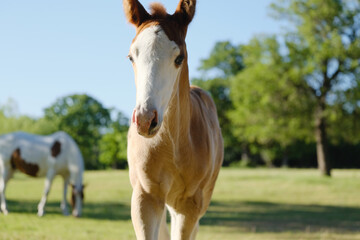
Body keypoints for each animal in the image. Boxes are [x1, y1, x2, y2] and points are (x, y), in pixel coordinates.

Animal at [124, 0, 224, 239]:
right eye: (131, 57)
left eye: (179, 58)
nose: (145, 119)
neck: (172, 145)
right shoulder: (145, 197)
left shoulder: (189, 205)